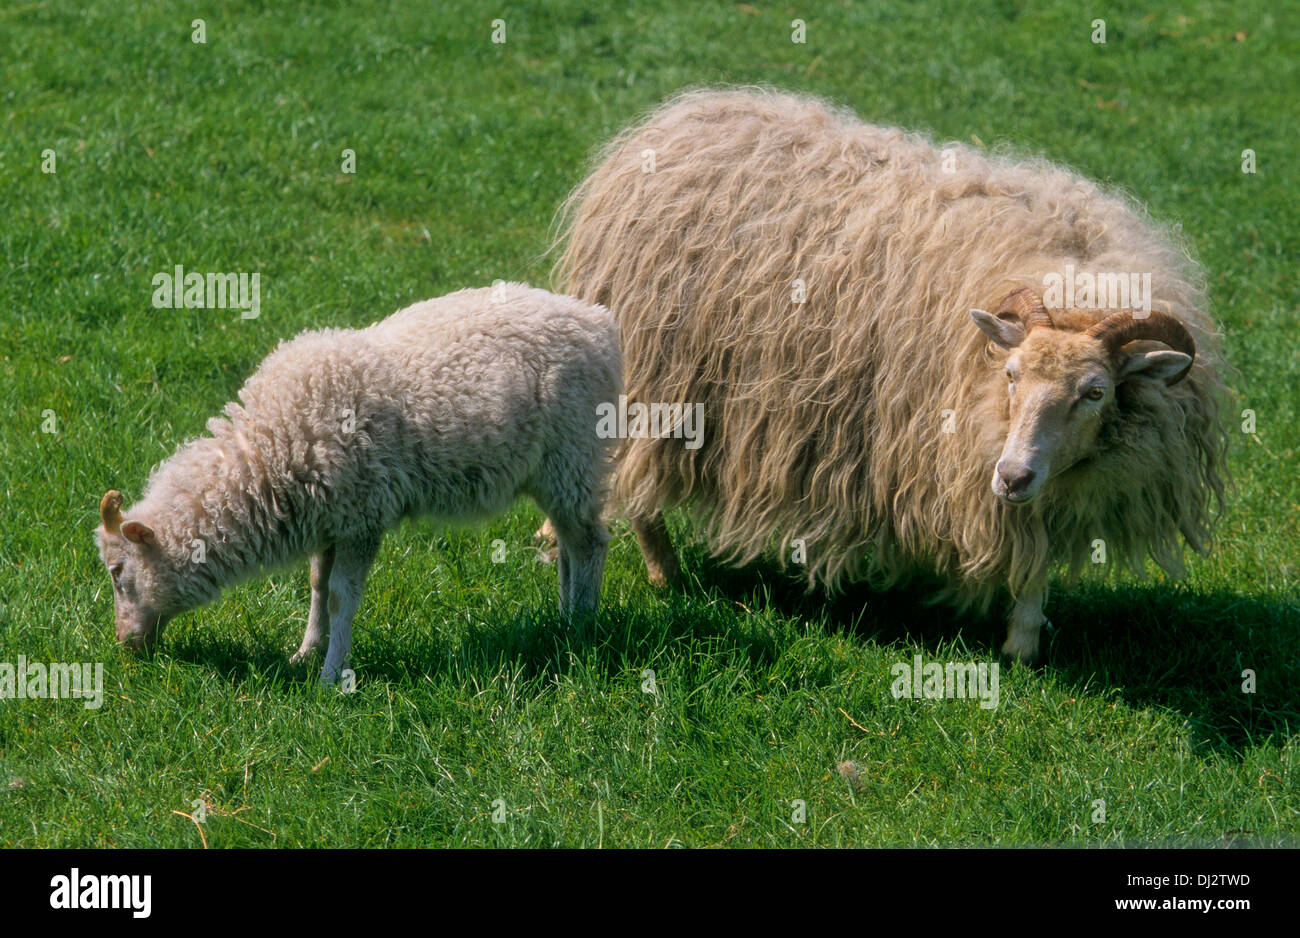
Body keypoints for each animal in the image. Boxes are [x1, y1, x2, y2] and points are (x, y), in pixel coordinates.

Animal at [94, 281, 618, 680]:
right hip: (553, 471)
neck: (267, 450)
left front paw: (331, 674)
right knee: (569, 542)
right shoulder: (329, 517)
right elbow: (316, 587)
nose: (124, 643)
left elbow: (341, 596)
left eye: (118, 572)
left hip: (574, 455)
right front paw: (305, 652)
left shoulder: (362, 518)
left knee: (590, 541)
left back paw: (582, 626)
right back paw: (564, 618)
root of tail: (599, 323)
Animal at [551, 85, 1227, 657]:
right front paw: (1020, 644)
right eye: (1010, 373)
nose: (1010, 475)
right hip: (654, 380)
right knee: (637, 480)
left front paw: (1025, 640)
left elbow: (1034, 560)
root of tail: (681, 115)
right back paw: (663, 574)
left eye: (1095, 392)